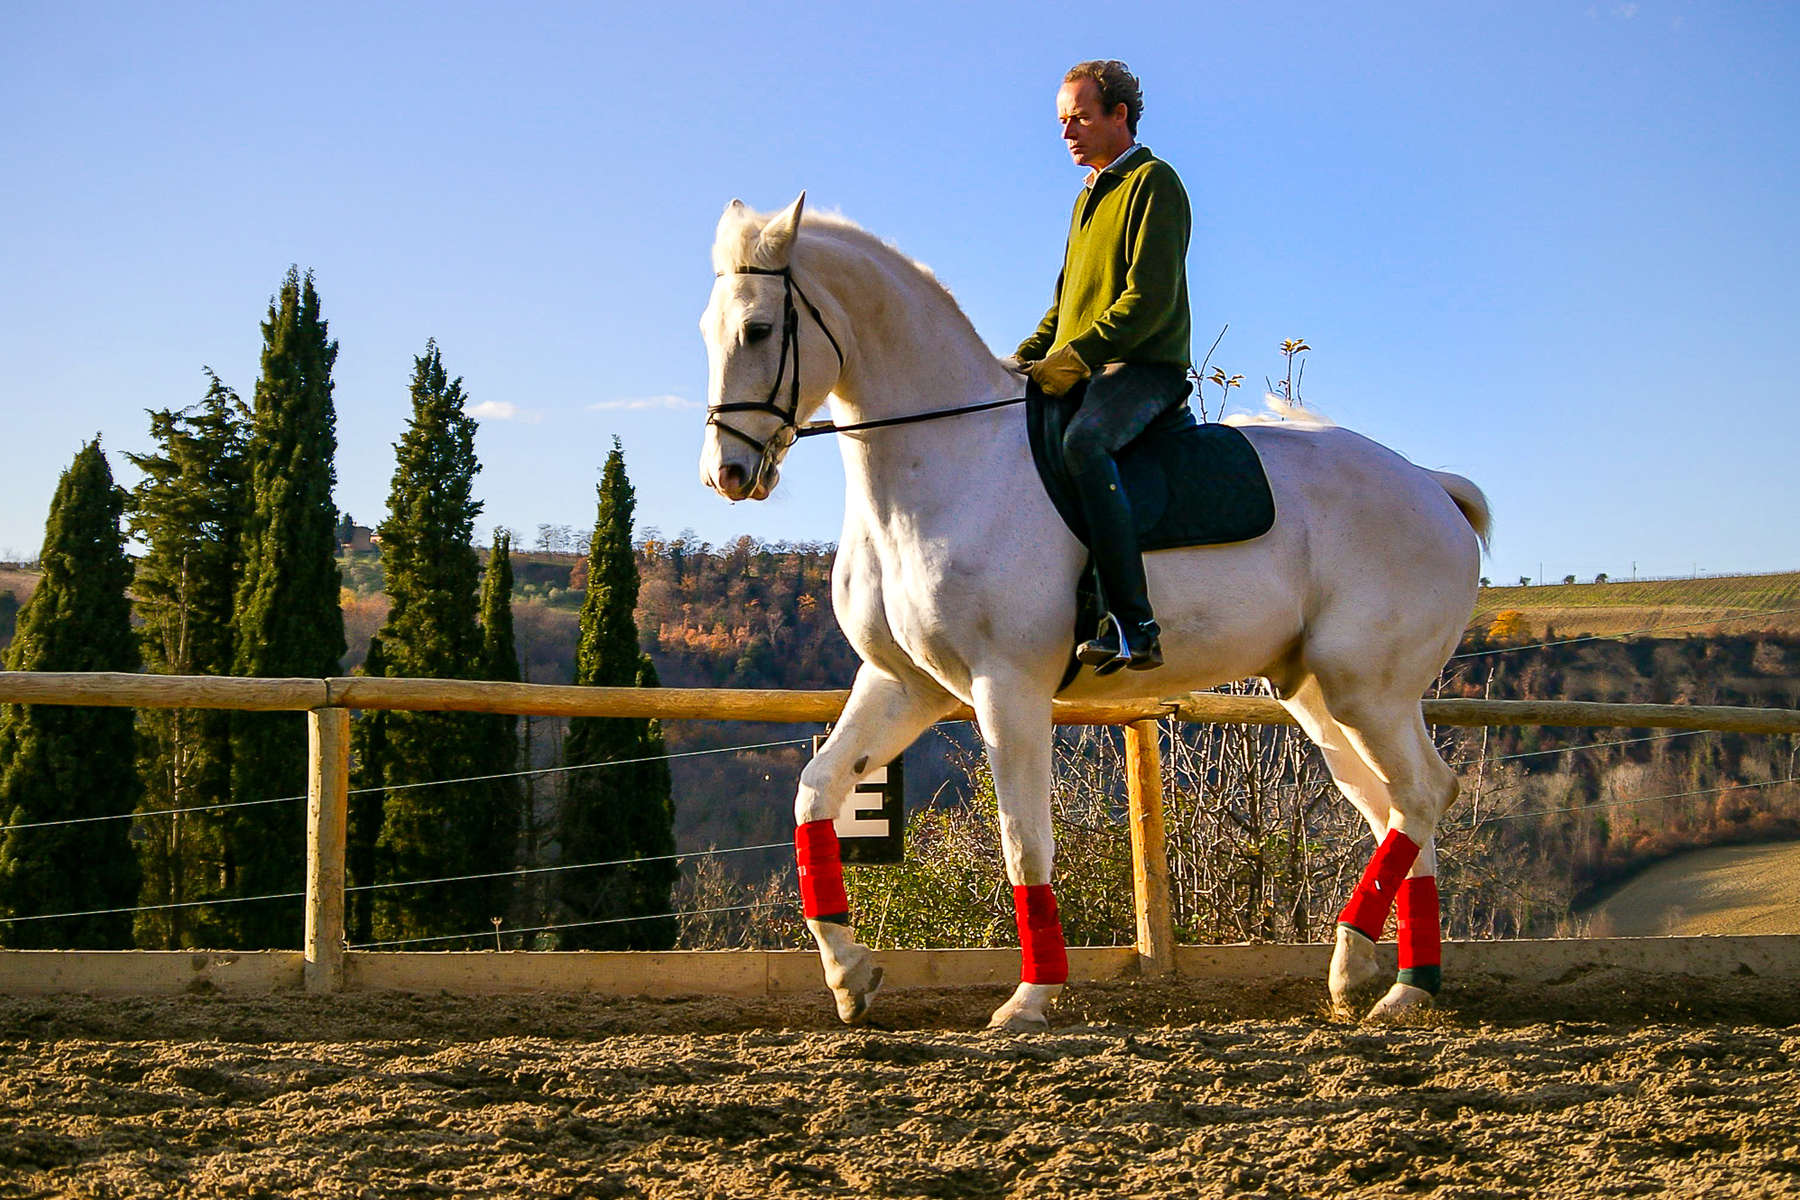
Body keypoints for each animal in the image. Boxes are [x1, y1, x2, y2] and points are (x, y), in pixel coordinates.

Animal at [694, 197, 1483, 1036]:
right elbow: (815, 791)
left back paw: (1370, 970)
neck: (947, 461)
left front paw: (1031, 998)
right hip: (1321, 699)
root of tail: (1432, 486)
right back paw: (1395, 980)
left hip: (1364, 690)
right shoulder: (903, 684)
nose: (727, 475)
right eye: (709, 330)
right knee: (1399, 805)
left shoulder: (1007, 688)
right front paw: (850, 975)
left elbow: (1024, 841)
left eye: (758, 330)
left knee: (1421, 795)